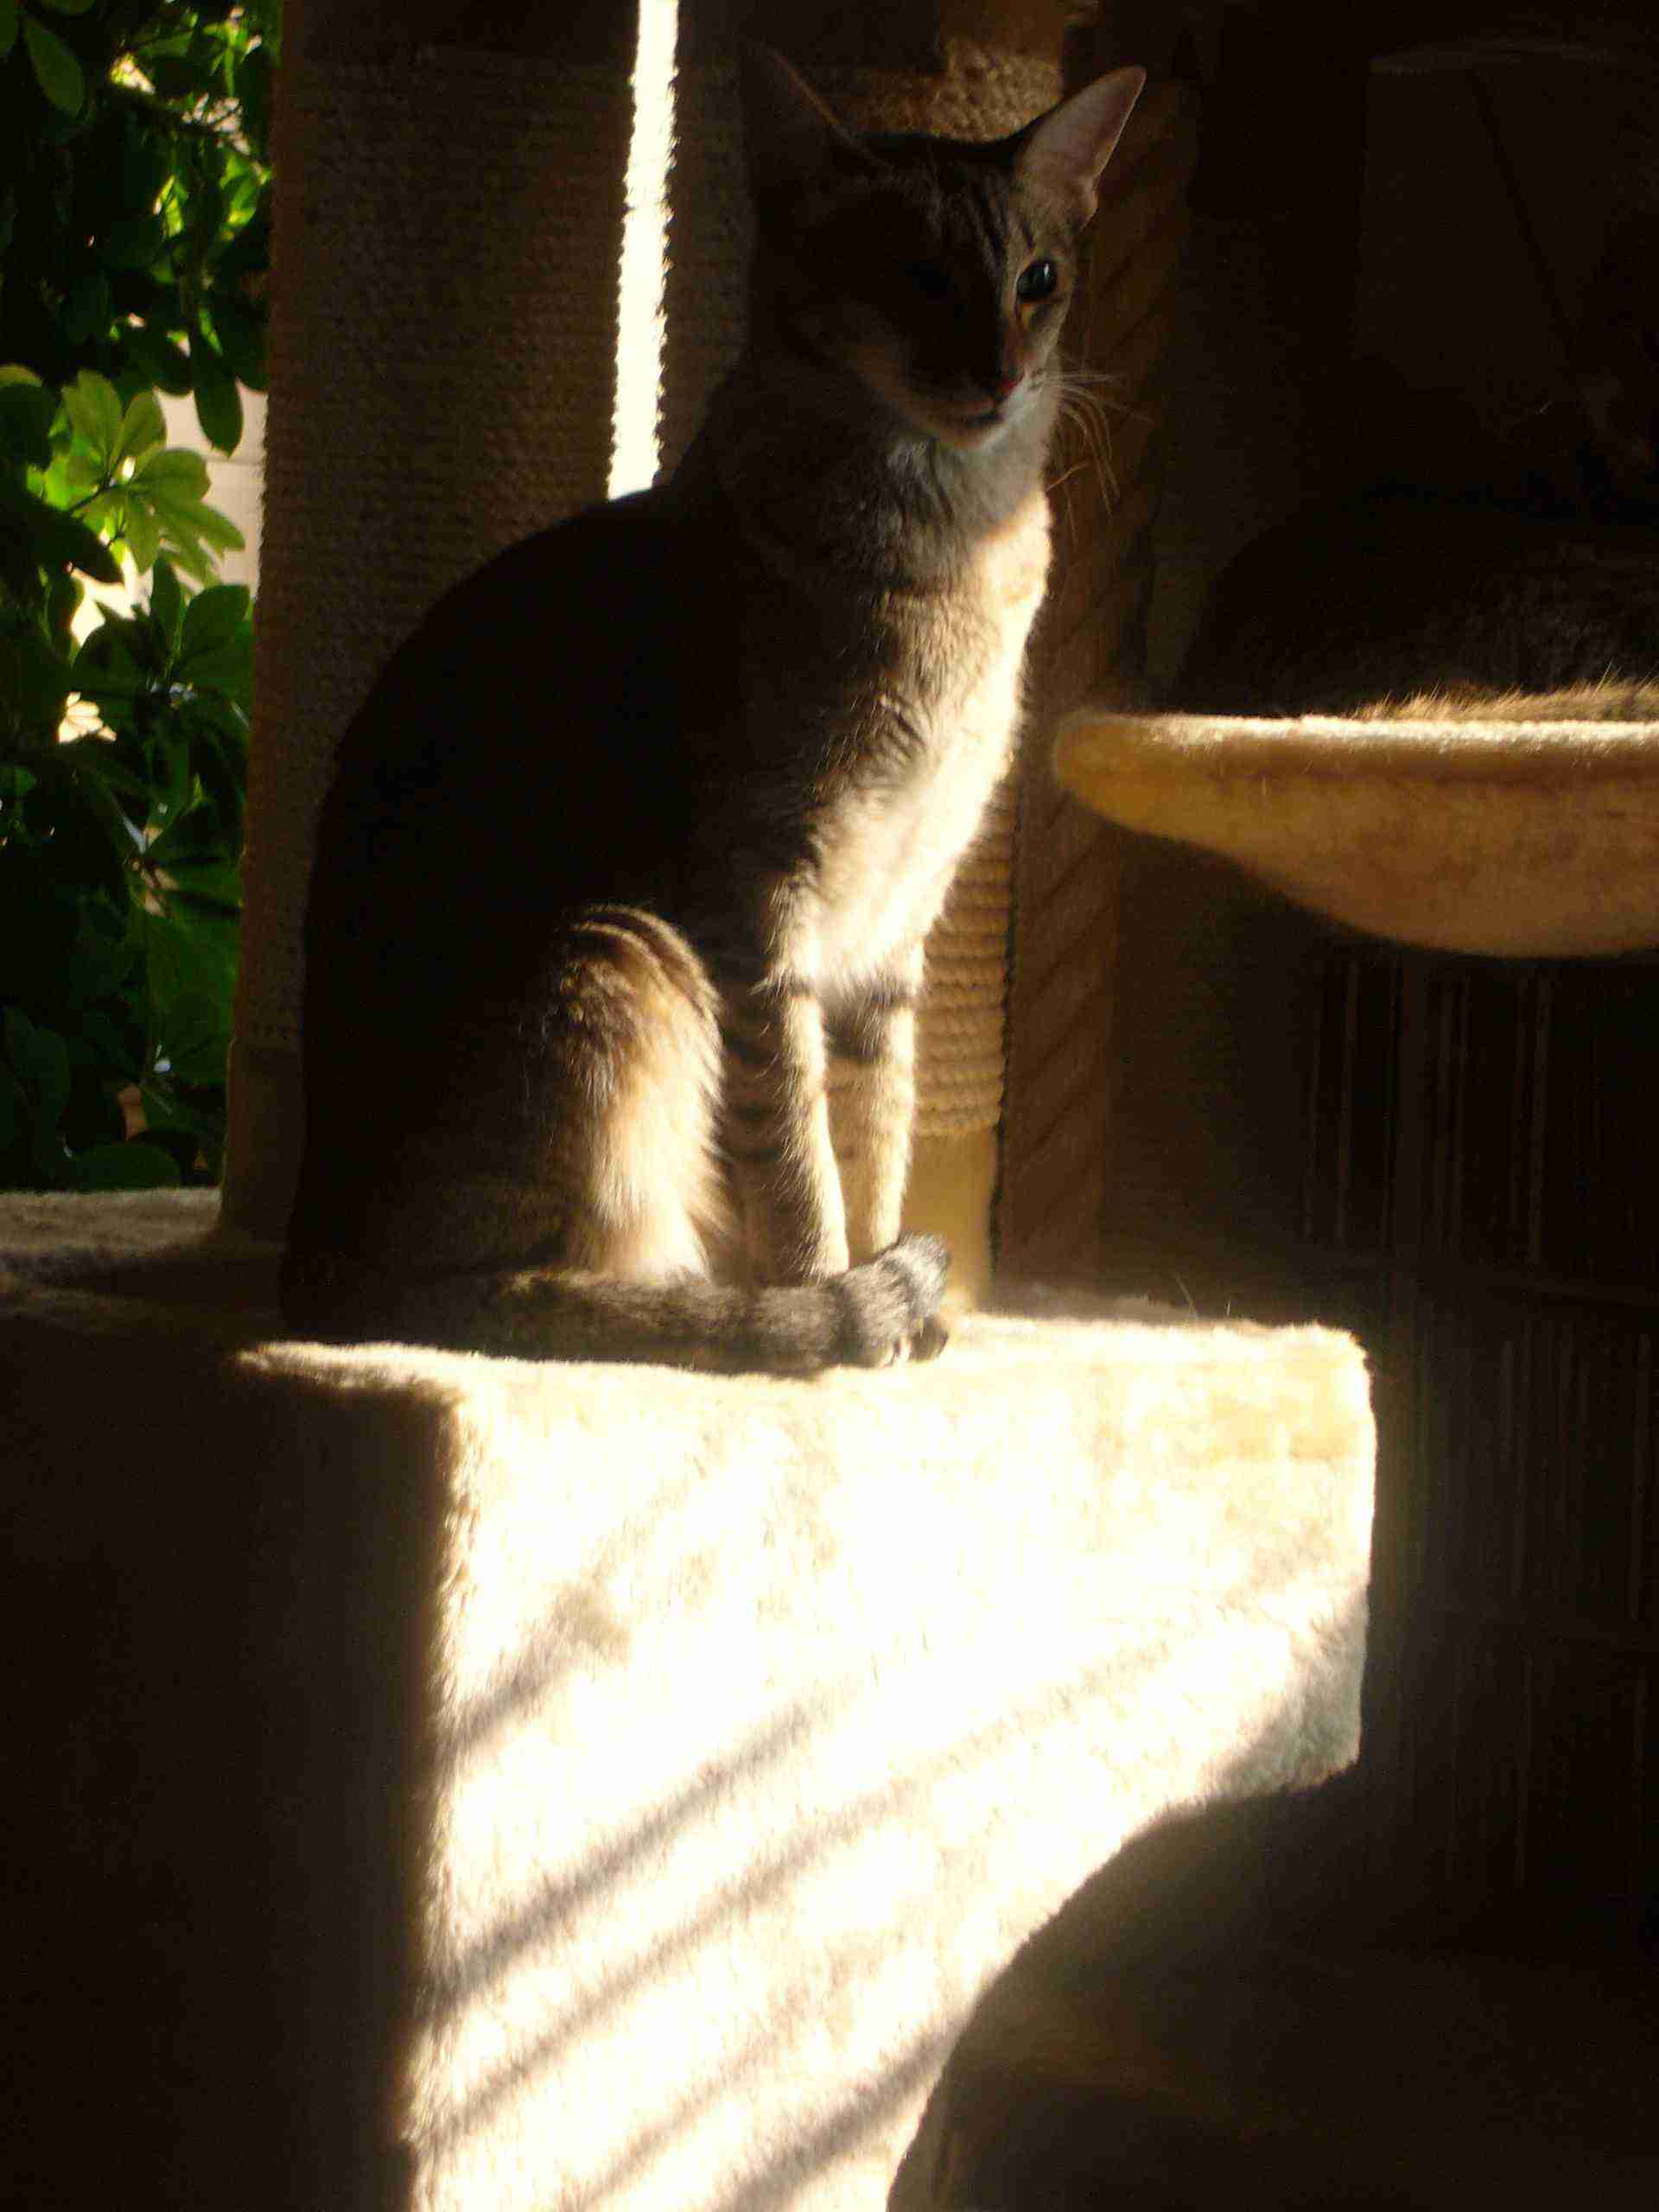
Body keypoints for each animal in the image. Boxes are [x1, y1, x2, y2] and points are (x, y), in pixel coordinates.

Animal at [279, 45, 1145, 1372]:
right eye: (917, 273)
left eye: (1038, 280)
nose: (1002, 375)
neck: (952, 556)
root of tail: (309, 1262)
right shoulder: (757, 908)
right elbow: (797, 1157)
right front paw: (837, 1301)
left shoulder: (893, 935)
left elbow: (877, 1135)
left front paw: (894, 1304)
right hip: (617, 956)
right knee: (523, 1298)